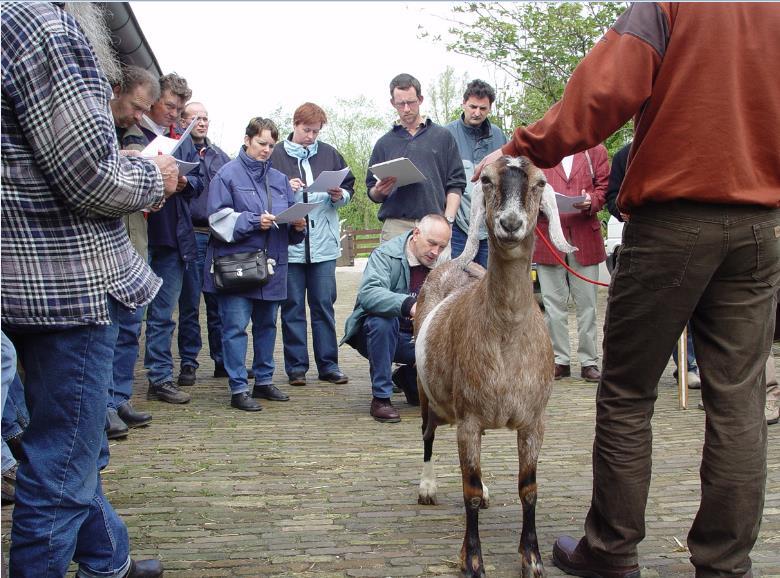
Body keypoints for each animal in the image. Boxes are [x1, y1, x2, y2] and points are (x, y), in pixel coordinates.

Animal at [414, 156, 572, 576]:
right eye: (486, 179)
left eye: (539, 183)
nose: (511, 223)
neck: (506, 336)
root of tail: (448, 265)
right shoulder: (468, 420)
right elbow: (467, 489)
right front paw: (472, 560)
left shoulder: (534, 421)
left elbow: (528, 489)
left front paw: (532, 558)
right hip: (427, 393)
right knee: (427, 434)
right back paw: (427, 487)